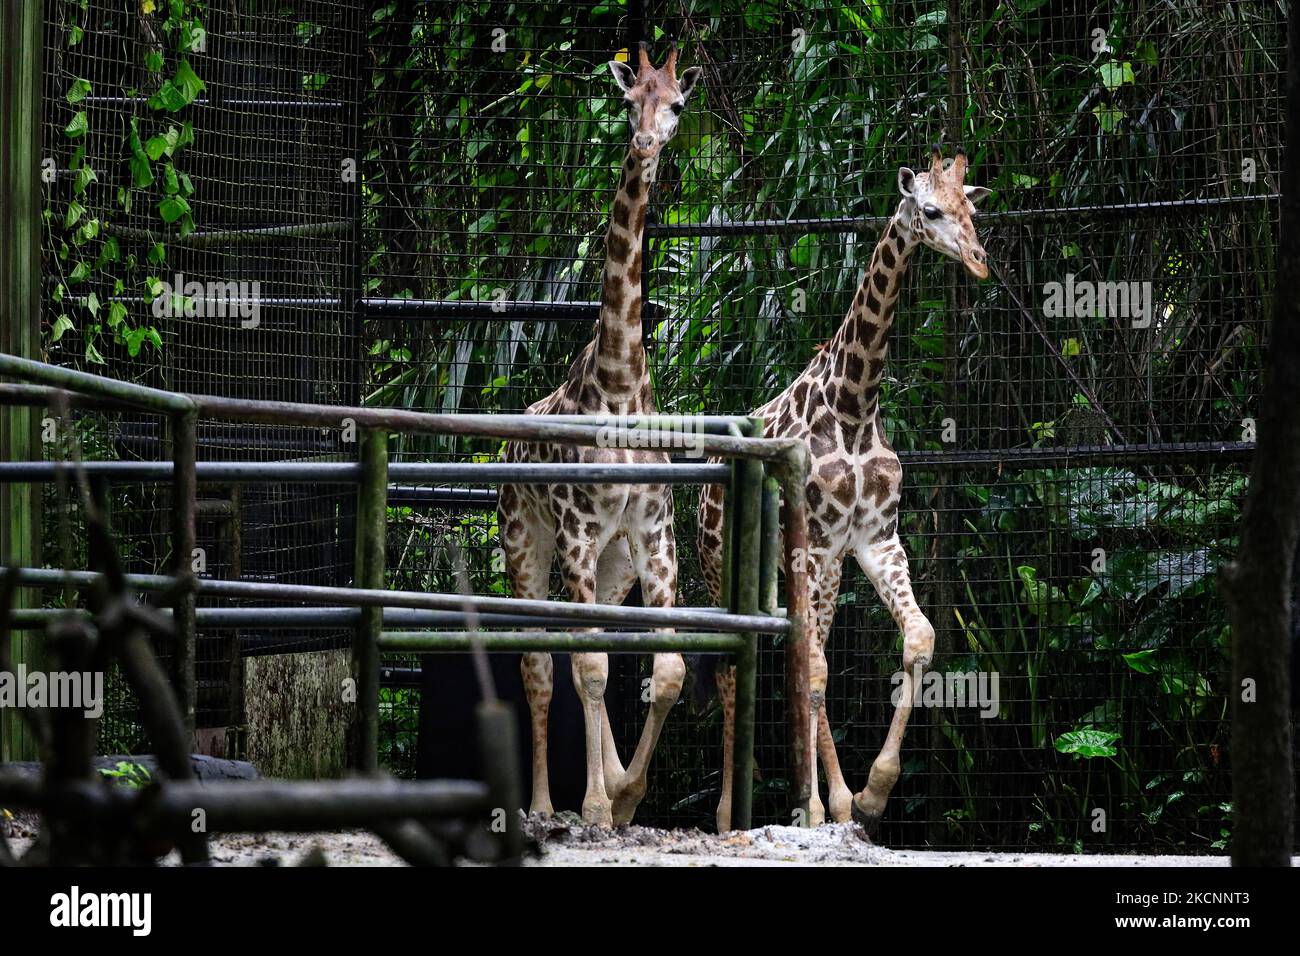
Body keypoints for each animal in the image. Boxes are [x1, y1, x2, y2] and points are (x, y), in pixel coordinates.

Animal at [496, 44, 702, 827]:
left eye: (676, 102)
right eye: (628, 99)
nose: (645, 142)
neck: (618, 380)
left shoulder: (652, 533)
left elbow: (664, 669)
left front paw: (627, 794)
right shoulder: (578, 532)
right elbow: (586, 666)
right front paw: (590, 806)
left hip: (614, 565)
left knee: (594, 644)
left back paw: (609, 786)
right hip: (526, 542)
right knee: (539, 662)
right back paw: (543, 805)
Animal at [707, 145, 987, 832]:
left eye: (973, 210)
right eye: (931, 210)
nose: (978, 260)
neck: (856, 405)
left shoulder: (874, 541)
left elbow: (918, 640)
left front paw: (870, 793)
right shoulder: (818, 546)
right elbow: (813, 671)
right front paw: (814, 805)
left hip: (799, 569)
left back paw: (833, 799)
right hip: (720, 560)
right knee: (734, 670)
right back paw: (731, 815)